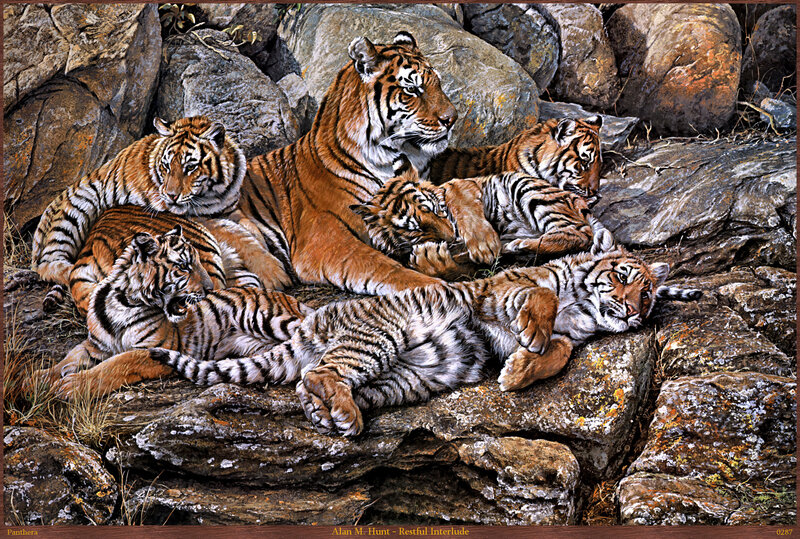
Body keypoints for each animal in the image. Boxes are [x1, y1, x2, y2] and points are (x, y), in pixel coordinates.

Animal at [39, 226, 310, 398]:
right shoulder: (95, 347)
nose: (211, 288)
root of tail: (288, 298)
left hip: (266, 318)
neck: (122, 302)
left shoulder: (152, 349)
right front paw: (37, 380)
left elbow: (115, 365)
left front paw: (73, 386)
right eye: (184, 266)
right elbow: (67, 360)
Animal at [112, 228, 701, 437]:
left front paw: (517, 371)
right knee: (321, 373)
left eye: (648, 295)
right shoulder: (501, 290)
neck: (585, 309)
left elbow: (558, 350)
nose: (633, 313)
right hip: (382, 336)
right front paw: (528, 350)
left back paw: (334, 417)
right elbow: (543, 299)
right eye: (623, 277)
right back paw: (339, 413)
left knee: (314, 383)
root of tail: (310, 322)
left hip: (412, 376)